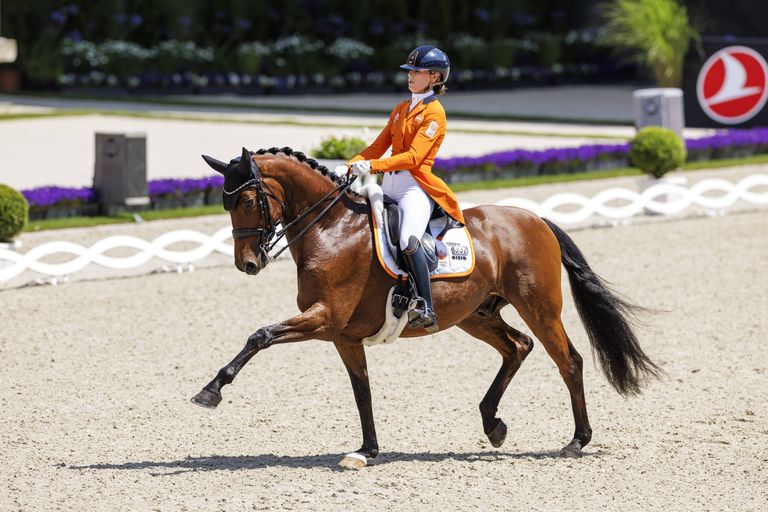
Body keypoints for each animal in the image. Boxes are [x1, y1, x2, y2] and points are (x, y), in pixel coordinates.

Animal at [192, 147, 660, 468]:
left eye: (247, 201)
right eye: (225, 204)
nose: (248, 264)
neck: (331, 229)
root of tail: (536, 219)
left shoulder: (325, 319)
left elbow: (260, 335)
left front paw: (211, 390)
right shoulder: (343, 336)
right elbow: (362, 391)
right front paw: (367, 450)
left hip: (539, 307)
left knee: (568, 361)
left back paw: (577, 440)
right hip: (476, 315)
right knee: (518, 347)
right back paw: (492, 424)